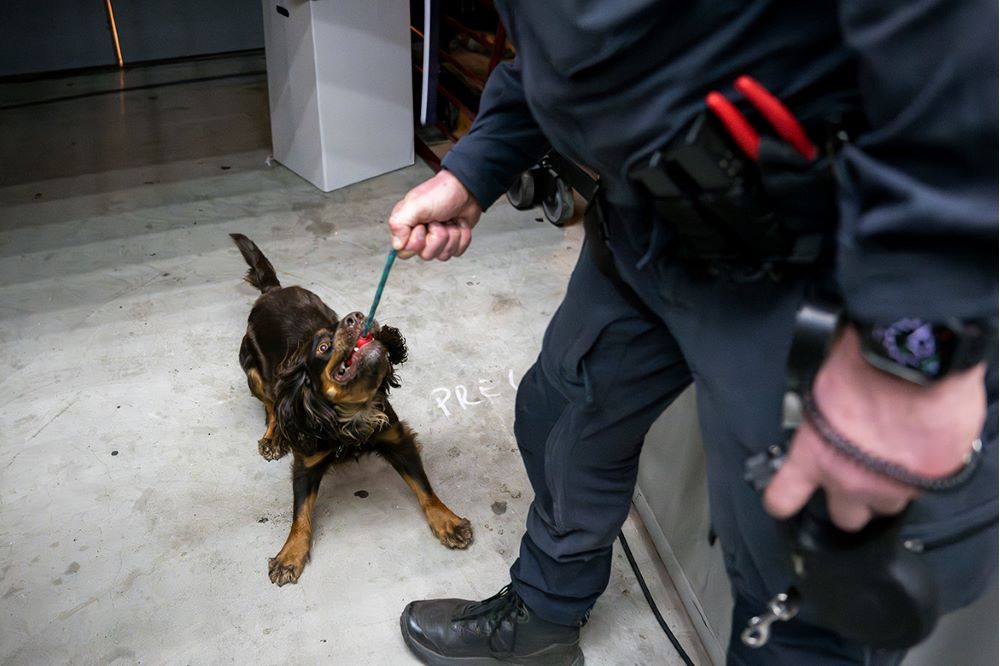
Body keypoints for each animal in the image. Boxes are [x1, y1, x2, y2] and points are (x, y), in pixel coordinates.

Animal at [230, 231, 472, 584]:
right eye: (323, 346)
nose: (355, 317)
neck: (351, 410)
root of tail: (273, 292)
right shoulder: (307, 463)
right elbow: (300, 513)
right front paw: (289, 555)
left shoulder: (398, 440)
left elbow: (424, 487)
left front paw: (447, 521)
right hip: (253, 371)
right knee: (273, 405)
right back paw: (274, 437)